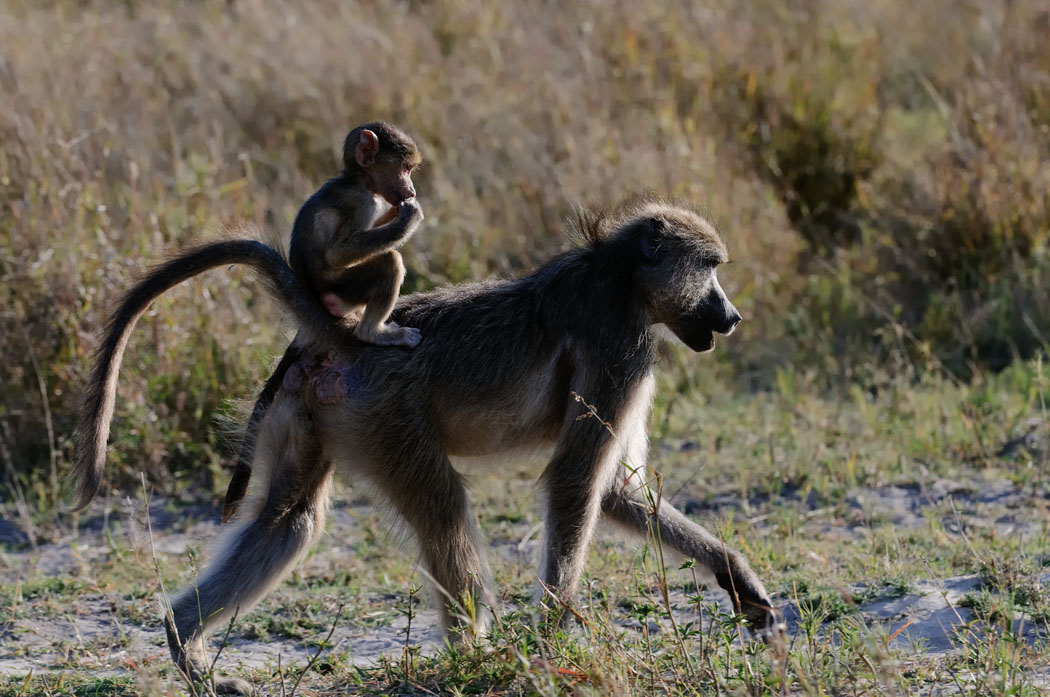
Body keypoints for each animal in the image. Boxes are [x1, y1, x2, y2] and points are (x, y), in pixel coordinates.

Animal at [74, 199, 783, 694]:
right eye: (710, 269)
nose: (732, 316)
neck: (621, 277)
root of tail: (344, 335)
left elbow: (612, 492)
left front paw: (737, 578)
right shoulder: (622, 351)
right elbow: (577, 482)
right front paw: (556, 638)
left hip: (311, 413)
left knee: (291, 520)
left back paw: (188, 652)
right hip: (385, 414)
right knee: (443, 508)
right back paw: (481, 659)